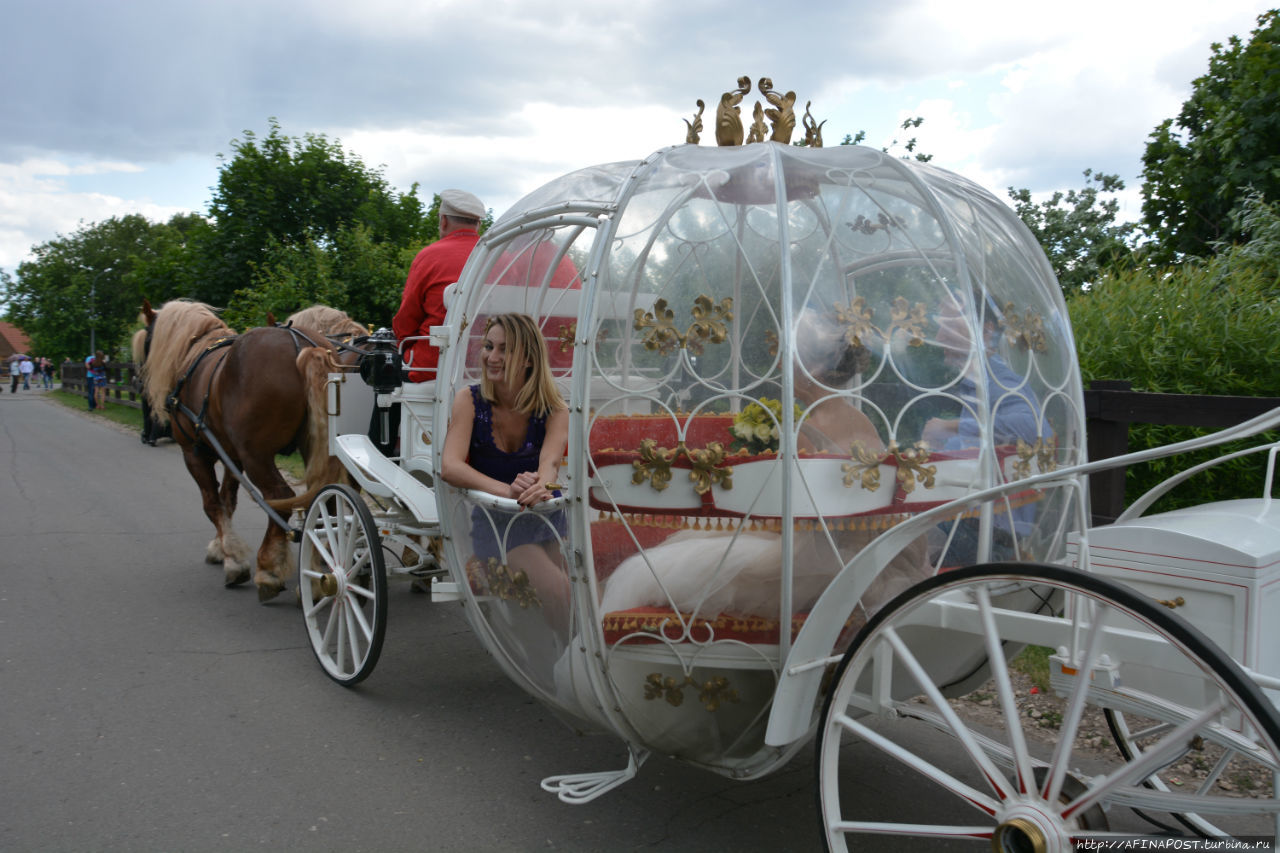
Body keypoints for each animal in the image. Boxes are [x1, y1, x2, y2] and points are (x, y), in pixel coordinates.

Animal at [140, 298, 345, 596]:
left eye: (146, 340)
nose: (138, 384)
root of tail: (303, 345)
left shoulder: (194, 454)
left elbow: (212, 504)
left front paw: (233, 561)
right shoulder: (231, 455)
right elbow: (227, 499)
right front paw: (221, 548)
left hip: (256, 457)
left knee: (279, 497)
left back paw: (270, 568)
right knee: (324, 501)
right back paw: (316, 572)